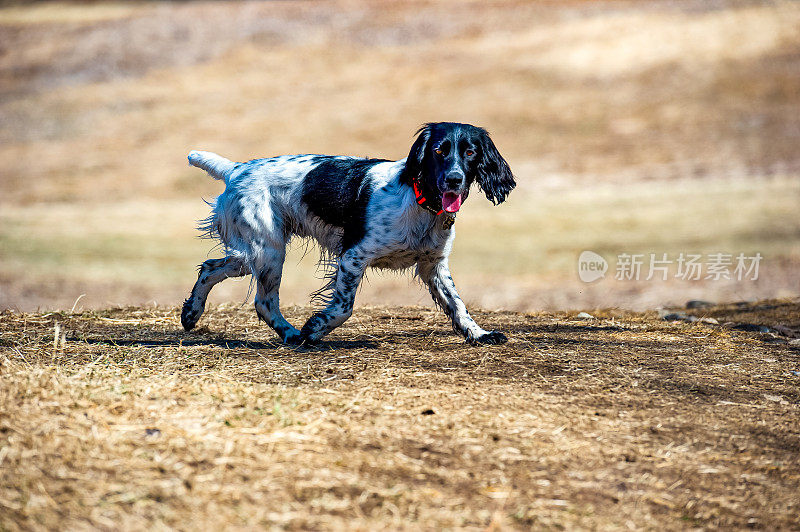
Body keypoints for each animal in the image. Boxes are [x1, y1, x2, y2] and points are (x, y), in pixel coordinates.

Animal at [182, 121, 516, 344]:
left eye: (470, 152)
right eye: (438, 150)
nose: (454, 179)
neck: (419, 201)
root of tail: (235, 169)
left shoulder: (433, 265)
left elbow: (458, 305)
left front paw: (479, 333)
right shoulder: (354, 256)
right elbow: (344, 306)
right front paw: (315, 327)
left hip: (251, 253)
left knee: (210, 268)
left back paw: (191, 313)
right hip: (267, 251)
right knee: (264, 302)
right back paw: (292, 334)